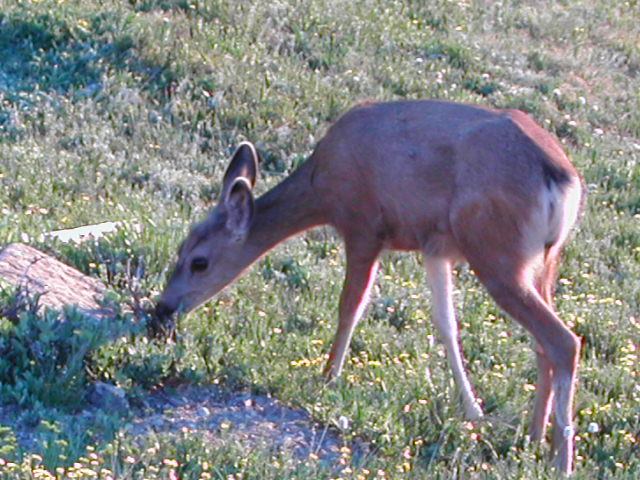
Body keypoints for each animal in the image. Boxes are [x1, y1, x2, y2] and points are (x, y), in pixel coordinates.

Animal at [155, 99, 584, 474]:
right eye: (180, 249)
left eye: (199, 262)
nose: (162, 310)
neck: (323, 186)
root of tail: (561, 177)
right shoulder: (434, 245)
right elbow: (446, 324)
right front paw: (473, 411)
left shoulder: (363, 226)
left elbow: (350, 306)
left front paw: (328, 376)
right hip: (542, 259)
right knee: (543, 343)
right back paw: (533, 438)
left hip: (496, 253)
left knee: (563, 340)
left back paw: (560, 459)